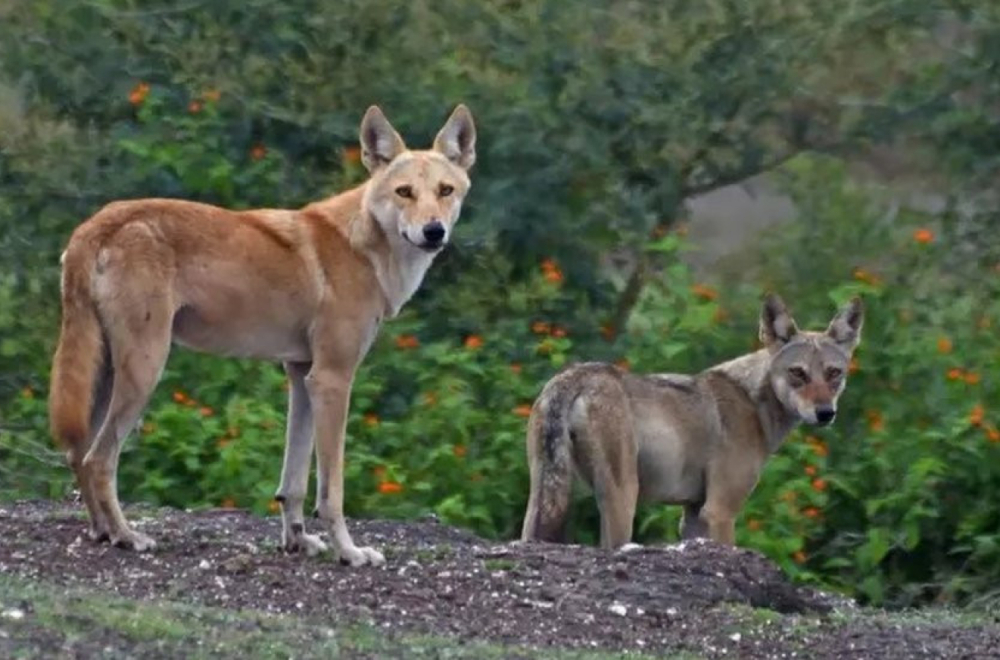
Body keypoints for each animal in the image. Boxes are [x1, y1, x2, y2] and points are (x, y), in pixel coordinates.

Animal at [48, 104, 478, 568]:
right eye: (404, 192)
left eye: (445, 190)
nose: (434, 231)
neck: (365, 248)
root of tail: (94, 224)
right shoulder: (333, 380)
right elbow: (332, 490)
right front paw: (349, 552)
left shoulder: (302, 377)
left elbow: (293, 483)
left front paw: (297, 543)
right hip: (145, 372)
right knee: (99, 459)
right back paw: (127, 536)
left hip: (107, 374)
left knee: (77, 453)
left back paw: (102, 532)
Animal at [524, 294, 860, 548]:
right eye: (798, 373)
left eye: (833, 373)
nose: (825, 413)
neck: (753, 403)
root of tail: (574, 375)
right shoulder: (720, 511)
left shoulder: (694, 514)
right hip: (623, 499)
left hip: (543, 496)